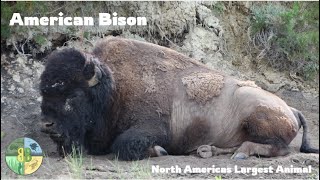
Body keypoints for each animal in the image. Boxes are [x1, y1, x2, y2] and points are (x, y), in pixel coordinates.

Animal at [39, 36, 318, 160]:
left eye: (74, 94)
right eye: (43, 90)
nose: (47, 124)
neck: (113, 89)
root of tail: (291, 108)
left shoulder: (151, 128)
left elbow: (124, 145)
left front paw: (160, 151)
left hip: (258, 117)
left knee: (278, 147)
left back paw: (240, 154)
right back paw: (207, 150)